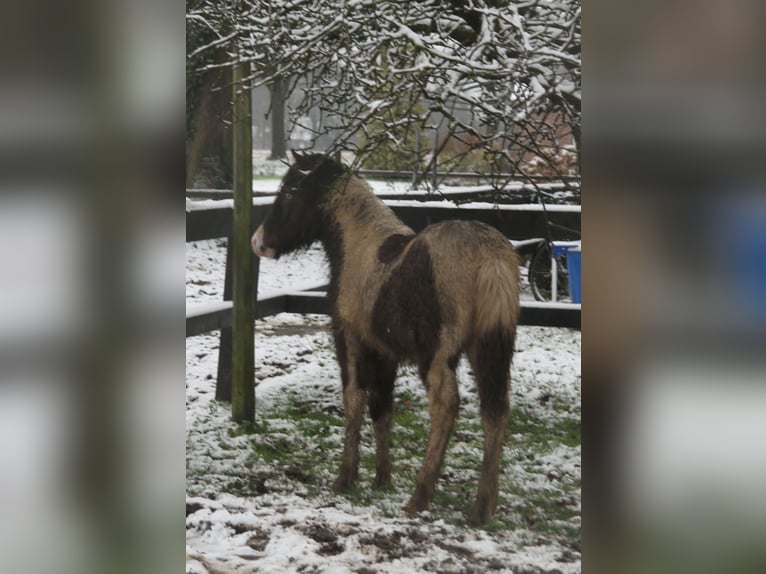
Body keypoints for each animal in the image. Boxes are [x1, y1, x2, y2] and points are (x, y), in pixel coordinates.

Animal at [252, 150, 520, 528]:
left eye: (289, 192)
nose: (258, 242)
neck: (359, 246)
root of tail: (490, 257)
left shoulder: (351, 343)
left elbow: (354, 401)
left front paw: (346, 477)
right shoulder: (385, 353)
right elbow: (382, 408)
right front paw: (382, 479)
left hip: (437, 357)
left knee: (446, 406)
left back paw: (420, 497)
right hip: (490, 351)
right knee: (495, 412)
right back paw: (482, 508)